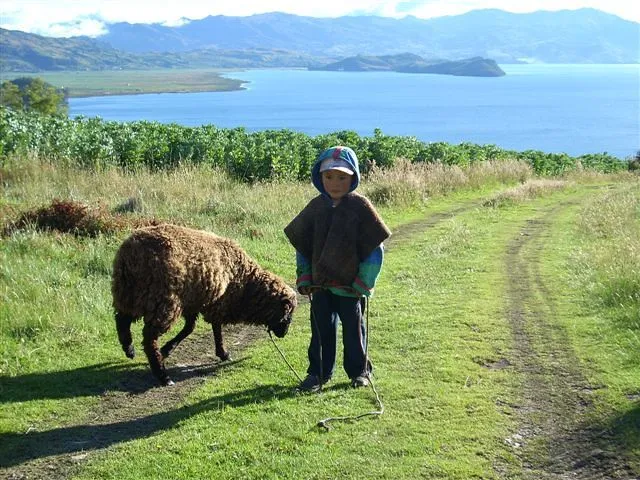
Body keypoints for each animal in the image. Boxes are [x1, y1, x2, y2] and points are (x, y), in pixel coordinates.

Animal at [112, 223, 298, 384]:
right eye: (287, 312)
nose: (284, 334)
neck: (246, 283)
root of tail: (131, 254)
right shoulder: (218, 303)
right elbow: (216, 328)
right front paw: (223, 353)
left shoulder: (193, 302)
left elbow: (189, 328)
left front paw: (167, 349)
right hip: (162, 301)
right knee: (149, 338)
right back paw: (162, 375)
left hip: (128, 293)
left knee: (122, 319)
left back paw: (129, 348)